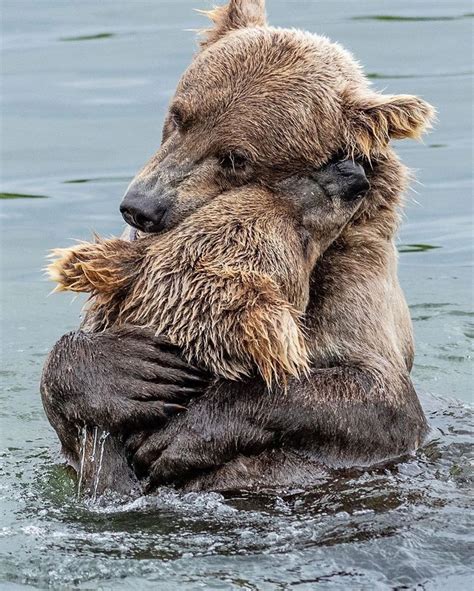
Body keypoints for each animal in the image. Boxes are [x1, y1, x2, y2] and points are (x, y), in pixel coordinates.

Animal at [40, 0, 434, 490]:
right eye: (179, 115)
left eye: (235, 157)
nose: (140, 207)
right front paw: (129, 371)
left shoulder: (354, 284)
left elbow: (378, 395)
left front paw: (183, 435)